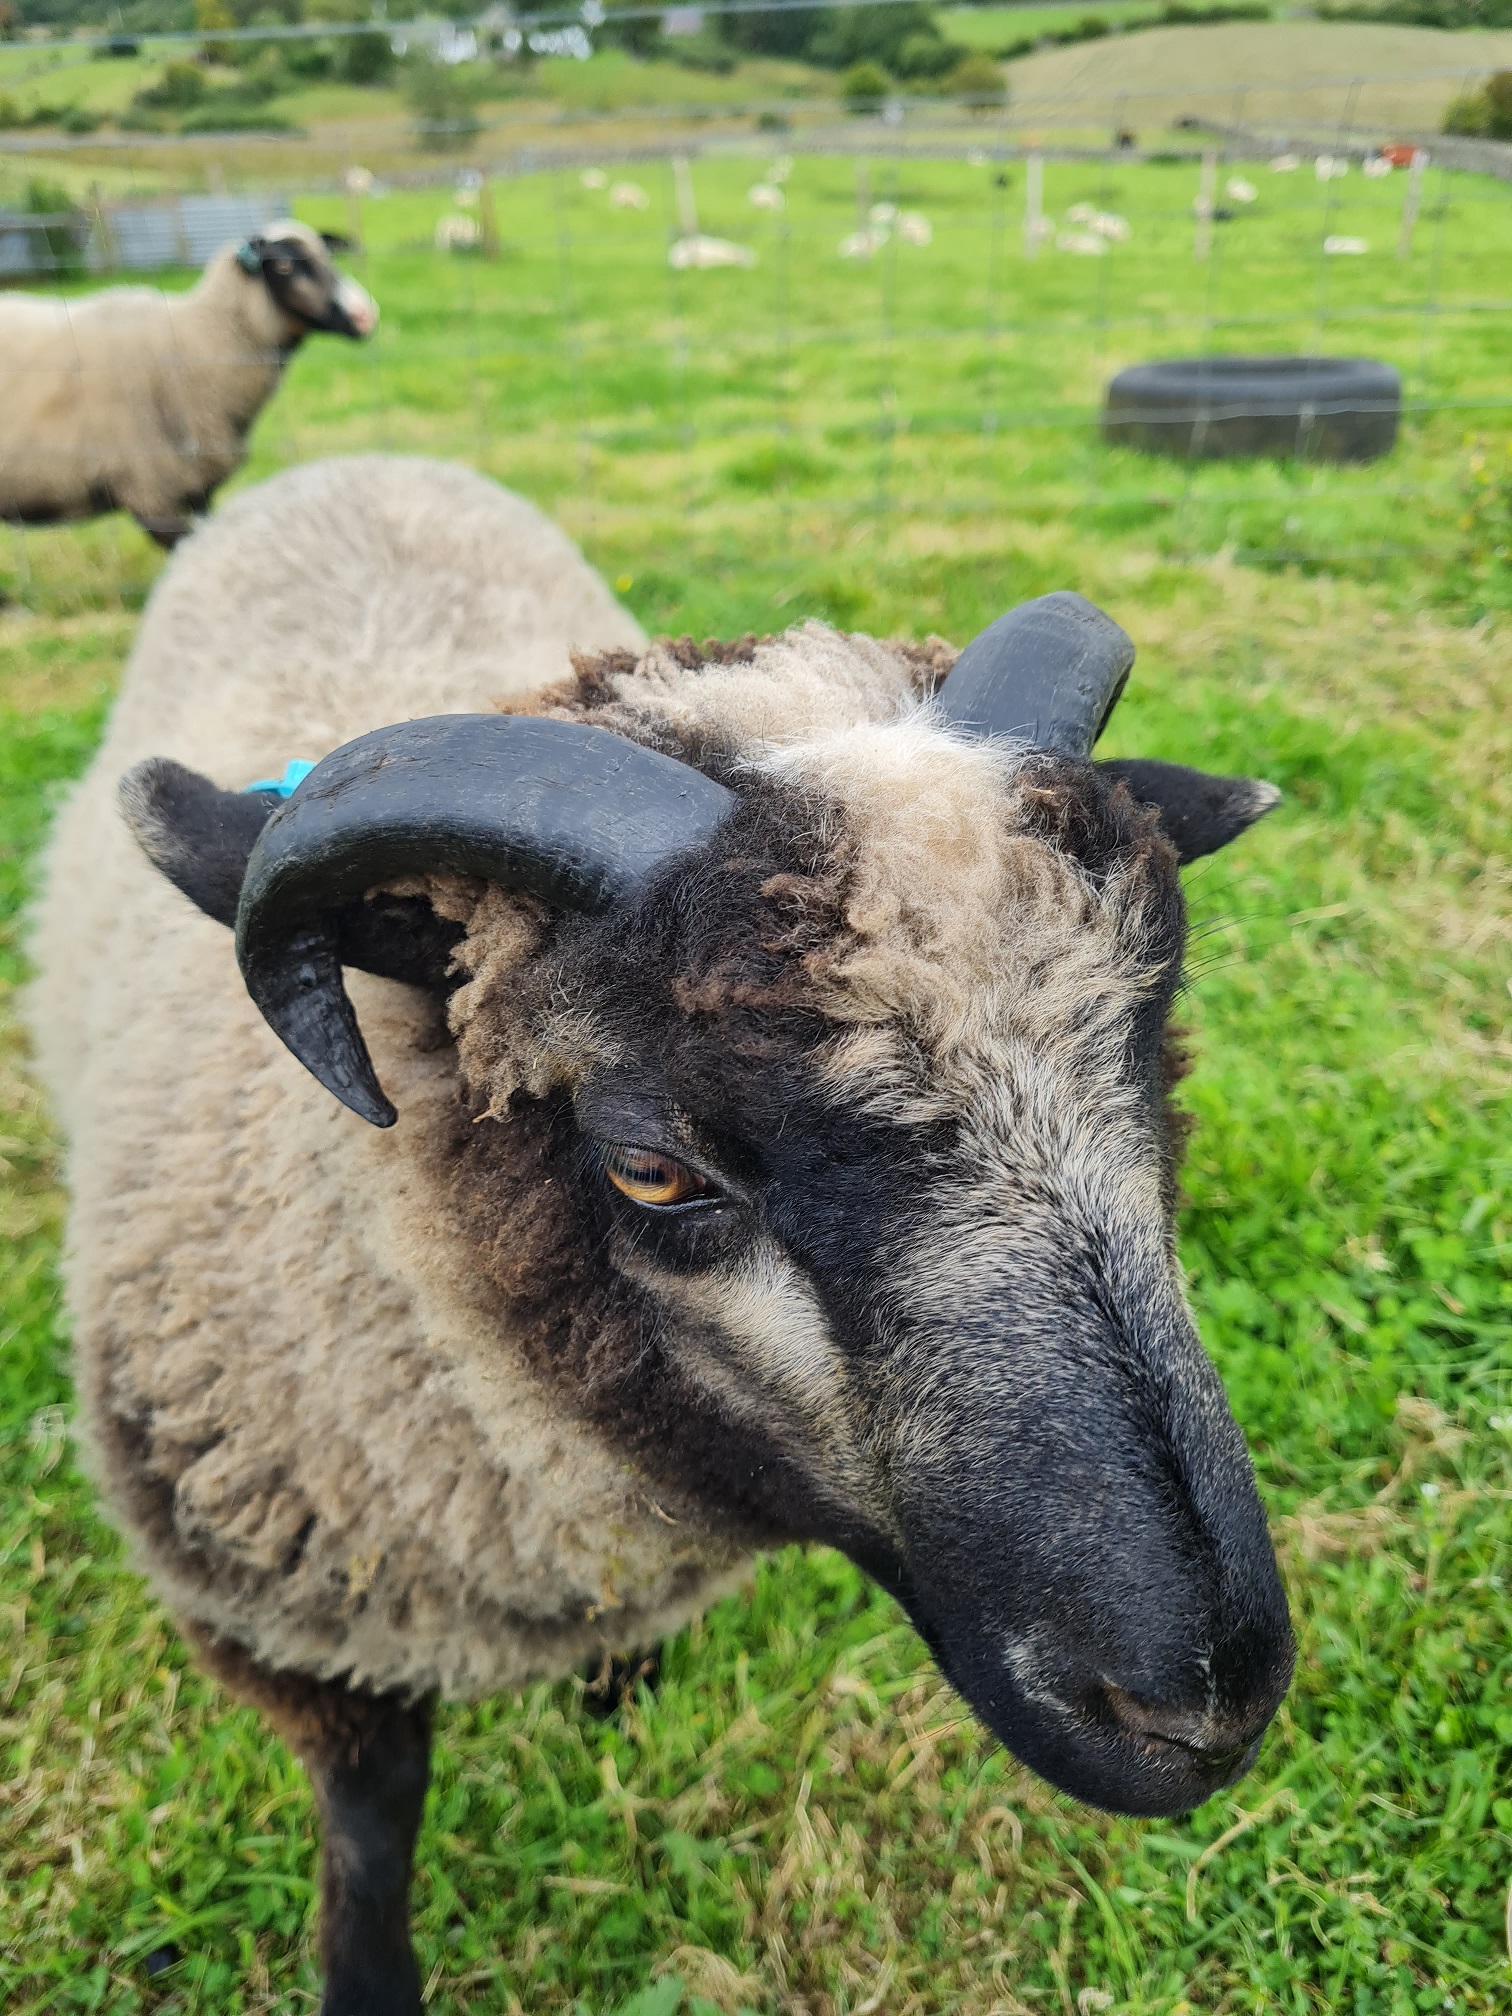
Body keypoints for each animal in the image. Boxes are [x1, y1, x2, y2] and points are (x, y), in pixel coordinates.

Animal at [0, 220, 376, 550]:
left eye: (328, 257)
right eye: (283, 266)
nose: (365, 315)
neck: (194, 341)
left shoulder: (197, 488)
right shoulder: (152, 494)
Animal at [30, 453, 1295, 2016]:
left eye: (1153, 1061)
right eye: (650, 1172)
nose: (1202, 1708)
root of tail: (360, 456)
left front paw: (618, 1695)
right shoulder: (304, 1634)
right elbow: (371, 1830)